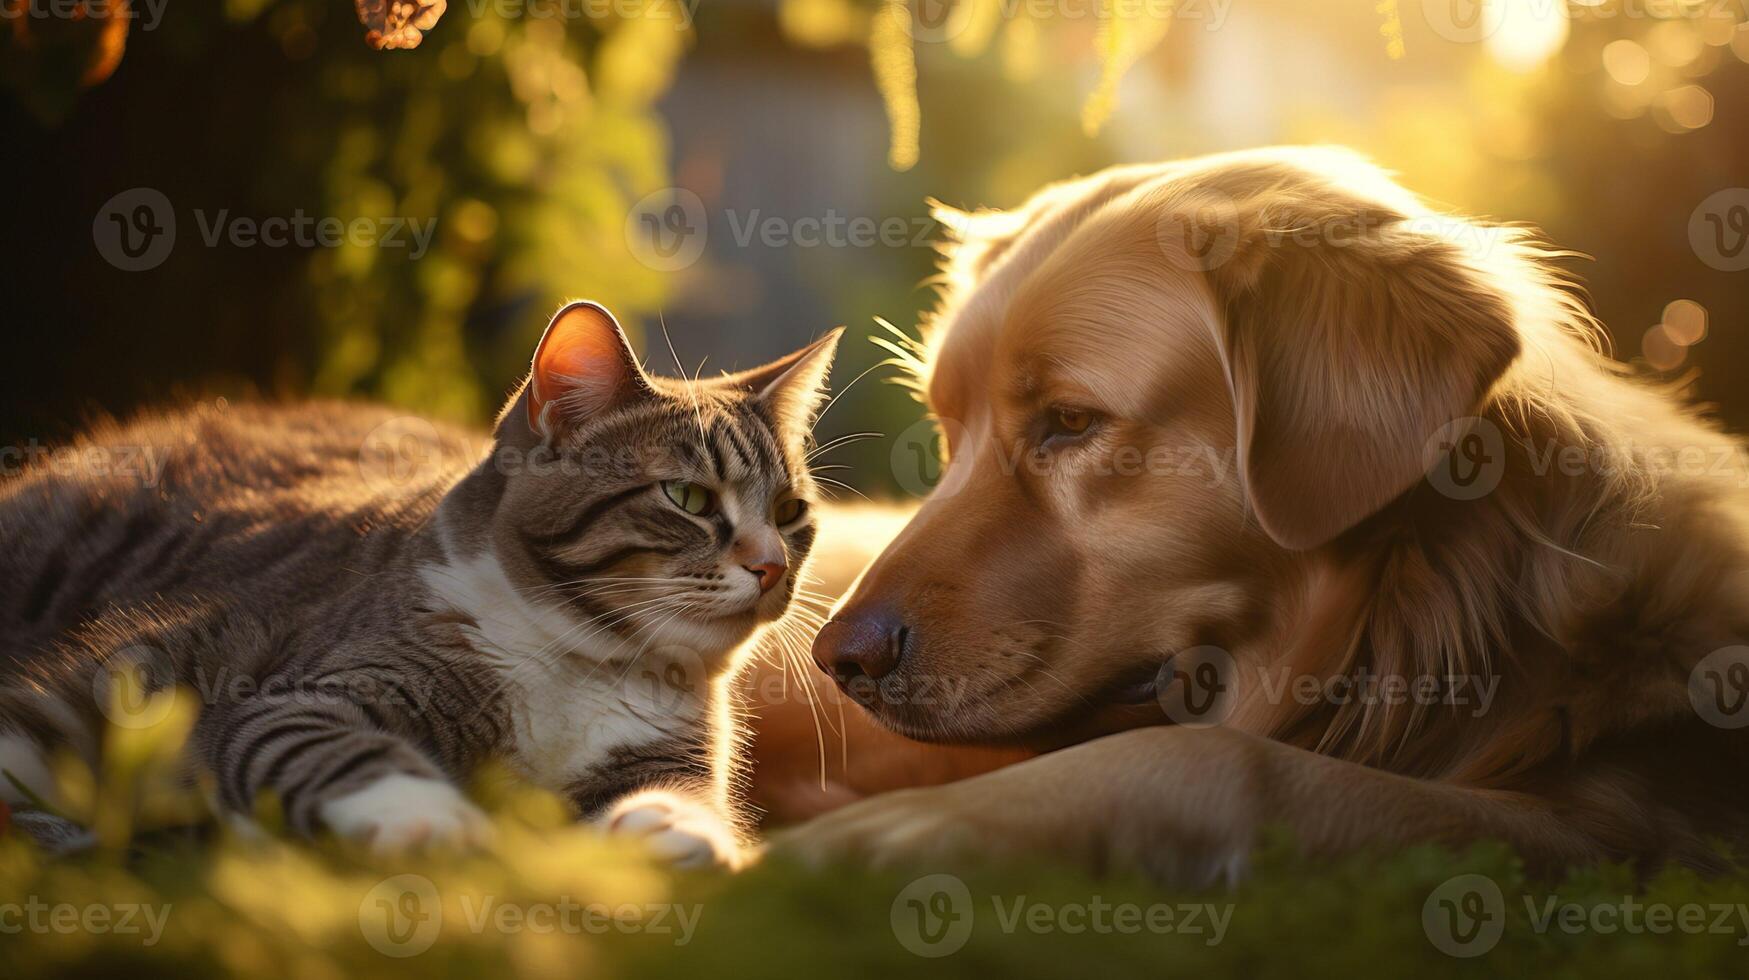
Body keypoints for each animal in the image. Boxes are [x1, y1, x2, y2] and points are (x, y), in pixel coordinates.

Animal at [0, 304, 839, 864]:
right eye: (688, 498)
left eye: (790, 511)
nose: (771, 564)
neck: (577, 665)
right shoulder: (294, 691)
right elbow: (332, 748)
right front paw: (433, 819)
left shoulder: (667, 749)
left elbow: (686, 795)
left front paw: (673, 830)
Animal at [759, 147, 1749, 889]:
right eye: (947, 431)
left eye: (1070, 422)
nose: (839, 658)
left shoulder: (1619, 826)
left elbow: (1231, 760)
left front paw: (925, 823)